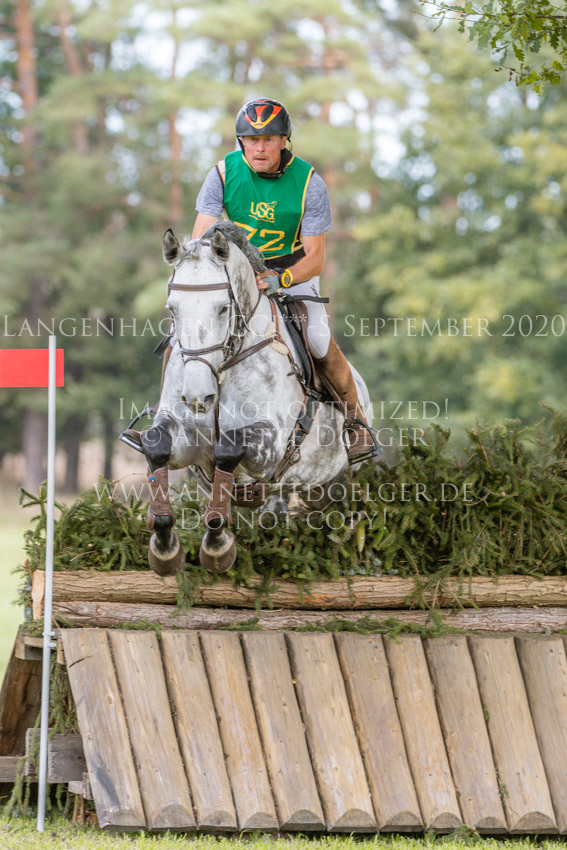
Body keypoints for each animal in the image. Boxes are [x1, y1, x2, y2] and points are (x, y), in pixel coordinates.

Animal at [135, 222, 374, 575]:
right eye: (172, 309)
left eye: (223, 308)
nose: (198, 396)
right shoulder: (187, 440)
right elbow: (156, 445)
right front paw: (164, 546)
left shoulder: (270, 449)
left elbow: (228, 447)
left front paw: (217, 547)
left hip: (339, 478)